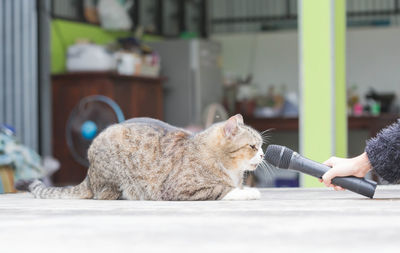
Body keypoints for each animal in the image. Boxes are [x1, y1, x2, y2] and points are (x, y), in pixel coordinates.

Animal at [28, 113, 266, 201]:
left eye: (262, 145)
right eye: (253, 146)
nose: (264, 154)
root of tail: (88, 174)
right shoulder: (181, 188)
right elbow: (222, 189)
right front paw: (247, 192)